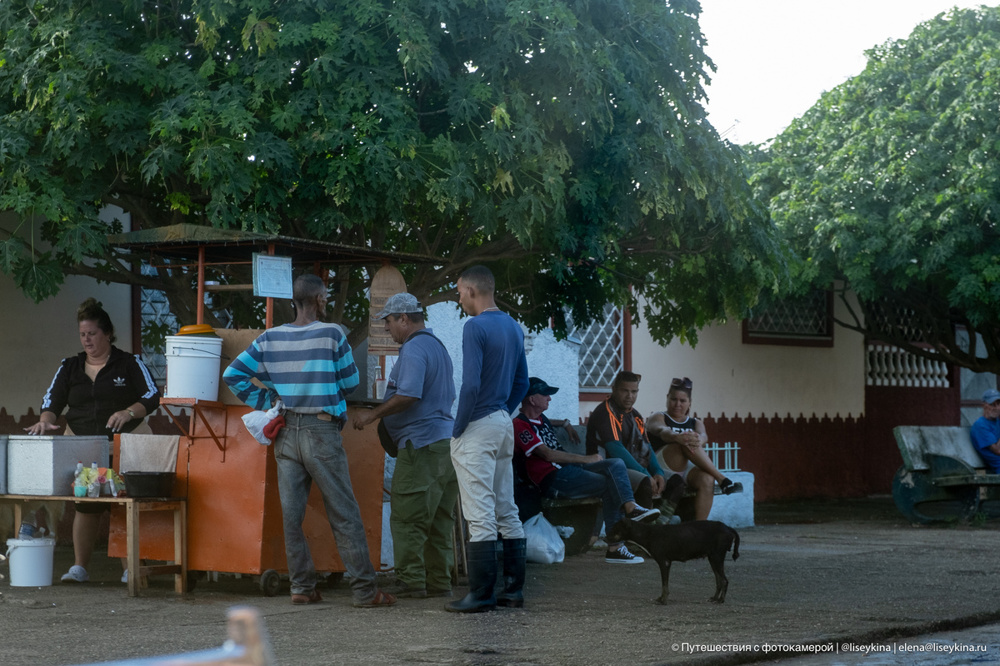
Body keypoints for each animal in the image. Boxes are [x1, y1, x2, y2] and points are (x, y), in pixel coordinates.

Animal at [604, 516, 740, 604]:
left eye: (614, 530)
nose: (604, 539)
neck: (648, 533)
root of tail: (728, 528)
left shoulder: (664, 562)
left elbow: (664, 585)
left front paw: (663, 600)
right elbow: (664, 584)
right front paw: (661, 598)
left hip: (717, 557)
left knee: (724, 580)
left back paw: (721, 600)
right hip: (713, 559)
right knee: (719, 581)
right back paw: (715, 598)